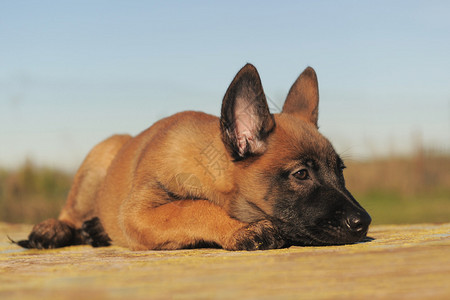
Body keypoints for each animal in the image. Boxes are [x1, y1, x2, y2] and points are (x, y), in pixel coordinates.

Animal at [16, 63, 370, 251]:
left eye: (340, 170)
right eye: (301, 174)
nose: (363, 222)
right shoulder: (137, 211)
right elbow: (191, 207)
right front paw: (242, 229)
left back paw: (97, 230)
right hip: (100, 156)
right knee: (70, 212)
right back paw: (53, 229)